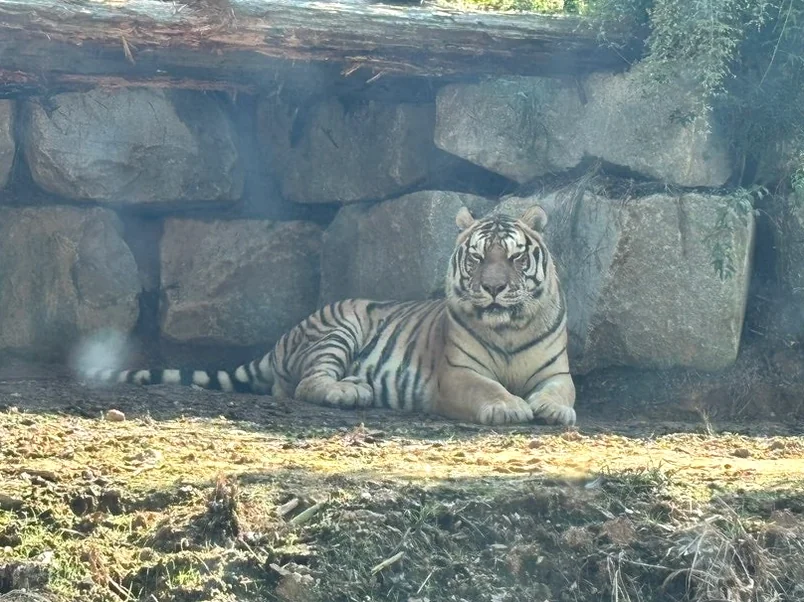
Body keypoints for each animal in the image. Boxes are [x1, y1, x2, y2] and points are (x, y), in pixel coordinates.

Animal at [80, 204, 576, 426]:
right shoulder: (456, 374)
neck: (507, 330)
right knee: (304, 385)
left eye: (513, 257)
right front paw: (509, 406)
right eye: (476, 258)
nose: (493, 287)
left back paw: (359, 385)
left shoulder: (557, 371)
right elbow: (485, 387)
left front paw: (553, 410)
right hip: (340, 328)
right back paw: (348, 392)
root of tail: (283, 338)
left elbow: (561, 391)